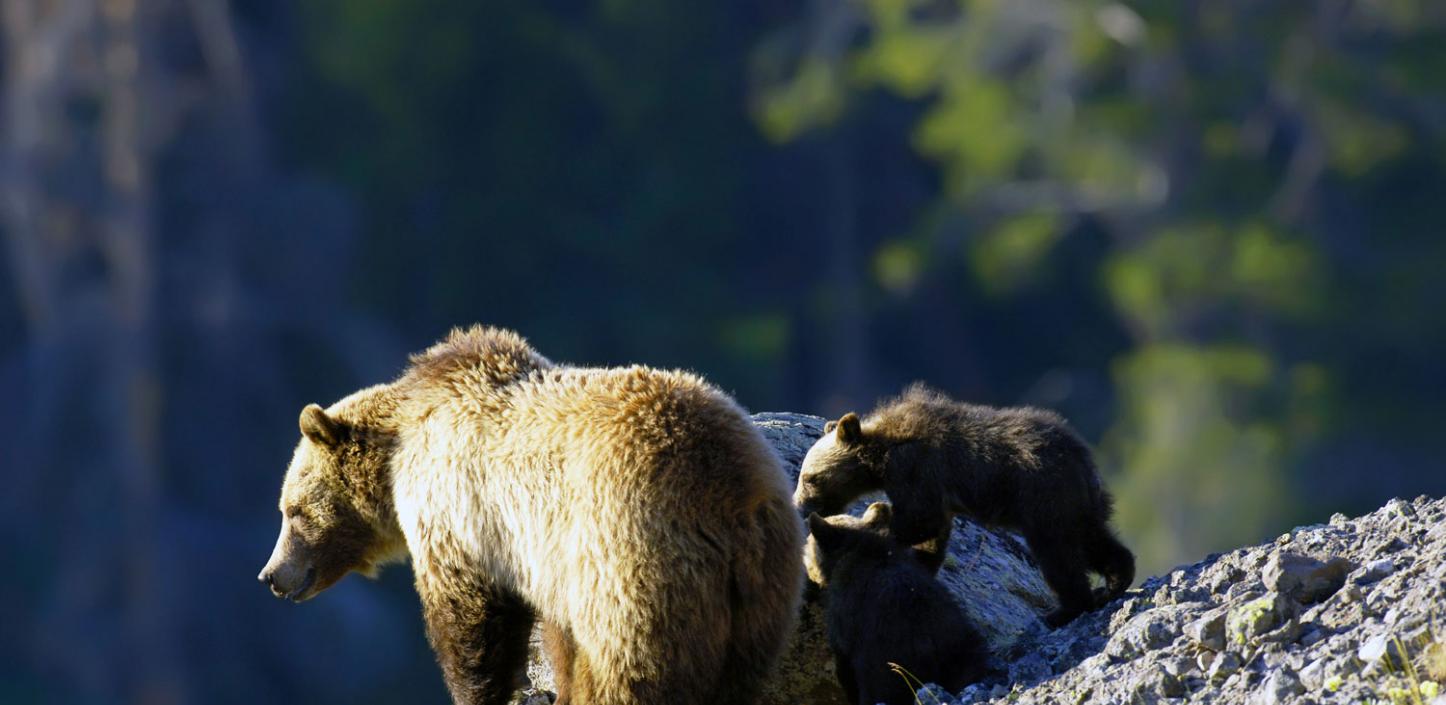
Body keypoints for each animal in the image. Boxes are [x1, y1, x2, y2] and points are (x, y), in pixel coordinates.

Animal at [255, 325, 809, 705]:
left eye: (292, 511)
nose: (271, 576)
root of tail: (734, 501)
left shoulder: (463, 513)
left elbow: (469, 621)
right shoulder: (545, 557)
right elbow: (557, 636)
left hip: (637, 562)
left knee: (633, 670)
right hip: (761, 596)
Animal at [798, 381, 1133, 624]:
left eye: (810, 477)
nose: (801, 506)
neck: (881, 455)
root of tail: (1083, 458)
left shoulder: (917, 470)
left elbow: (920, 519)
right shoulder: (932, 489)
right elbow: (934, 531)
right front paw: (923, 561)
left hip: (1044, 497)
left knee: (1058, 553)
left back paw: (1064, 610)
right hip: (1081, 503)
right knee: (1094, 540)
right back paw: (1114, 582)